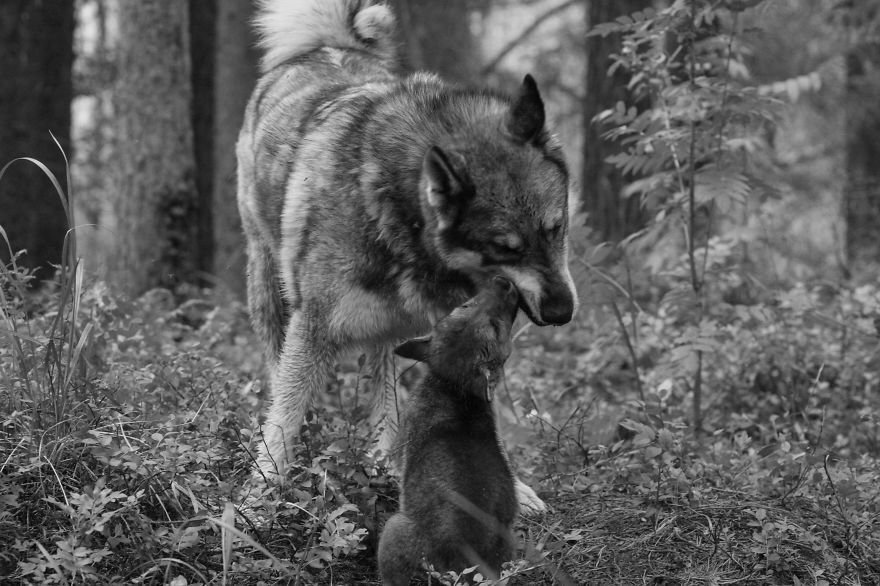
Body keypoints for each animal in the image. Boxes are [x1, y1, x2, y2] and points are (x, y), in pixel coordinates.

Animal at [237, 0, 576, 508]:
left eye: (556, 228)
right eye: (505, 248)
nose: (562, 312)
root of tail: (328, 45)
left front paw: (514, 487)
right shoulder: (314, 327)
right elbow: (284, 420)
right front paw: (258, 499)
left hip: (388, 330)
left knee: (386, 395)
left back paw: (382, 463)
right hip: (270, 290)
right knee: (281, 372)